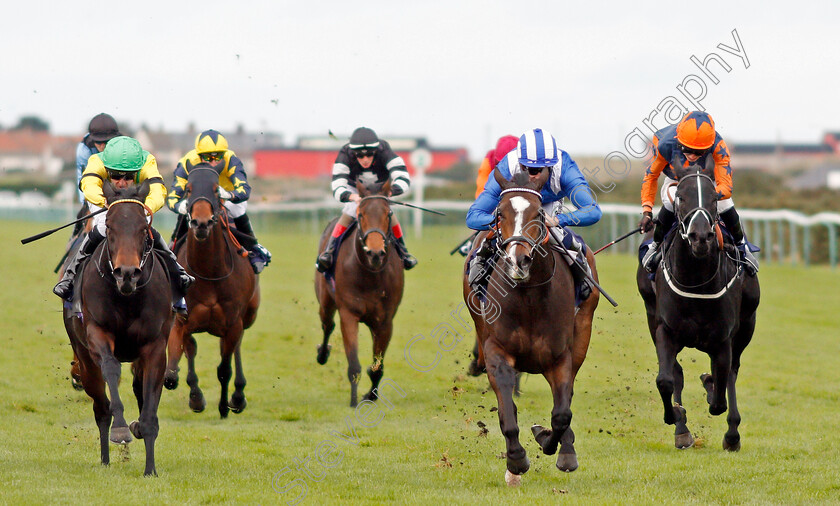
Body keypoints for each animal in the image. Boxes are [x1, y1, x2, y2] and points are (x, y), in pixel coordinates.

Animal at [64, 181, 174, 474]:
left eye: (143, 228)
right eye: (110, 227)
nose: (127, 273)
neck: (127, 298)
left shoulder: (154, 347)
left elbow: (149, 409)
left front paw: (150, 469)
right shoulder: (97, 335)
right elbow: (112, 369)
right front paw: (122, 429)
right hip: (85, 360)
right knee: (101, 408)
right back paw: (105, 459)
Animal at [162, 164, 258, 418]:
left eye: (216, 189)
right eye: (188, 189)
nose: (201, 223)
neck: (209, 272)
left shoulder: (233, 323)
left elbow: (224, 369)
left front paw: (225, 406)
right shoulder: (183, 320)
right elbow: (178, 360)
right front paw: (195, 397)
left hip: (248, 316)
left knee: (236, 347)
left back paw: (238, 396)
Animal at [316, 179, 406, 408]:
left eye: (388, 214)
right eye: (361, 214)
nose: (375, 253)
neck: (370, 275)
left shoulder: (385, 321)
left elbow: (377, 366)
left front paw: (370, 395)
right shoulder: (349, 315)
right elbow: (354, 365)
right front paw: (354, 400)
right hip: (325, 301)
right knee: (327, 325)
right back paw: (322, 353)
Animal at [462, 170, 600, 486]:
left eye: (538, 214)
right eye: (499, 213)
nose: (518, 260)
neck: (528, 297)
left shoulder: (560, 356)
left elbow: (561, 413)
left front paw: (551, 443)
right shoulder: (496, 352)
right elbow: (507, 413)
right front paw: (516, 462)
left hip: (582, 335)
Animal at [636, 162, 760, 450]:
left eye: (714, 199)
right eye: (681, 197)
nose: (701, 237)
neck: (696, 280)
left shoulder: (724, 338)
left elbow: (720, 393)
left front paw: (711, 386)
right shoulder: (664, 330)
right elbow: (666, 380)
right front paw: (675, 416)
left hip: (747, 325)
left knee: (731, 373)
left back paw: (732, 434)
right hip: (651, 317)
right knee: (677, 373)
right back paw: (682, 429)